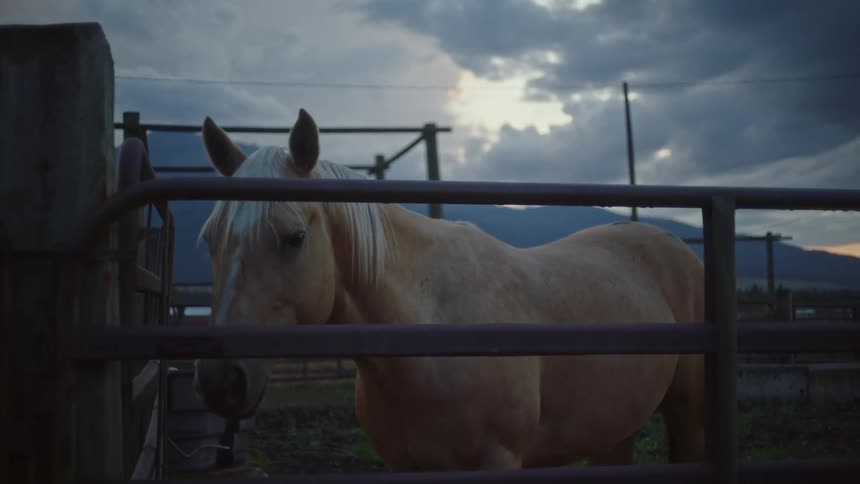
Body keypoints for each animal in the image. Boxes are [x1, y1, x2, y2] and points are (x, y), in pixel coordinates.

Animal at [193, 108, 706, 471]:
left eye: (295, 238)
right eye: (210, 241)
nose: (221, 381)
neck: (430, 335)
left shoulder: (499, 458)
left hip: (685, 408)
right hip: (613, 427)